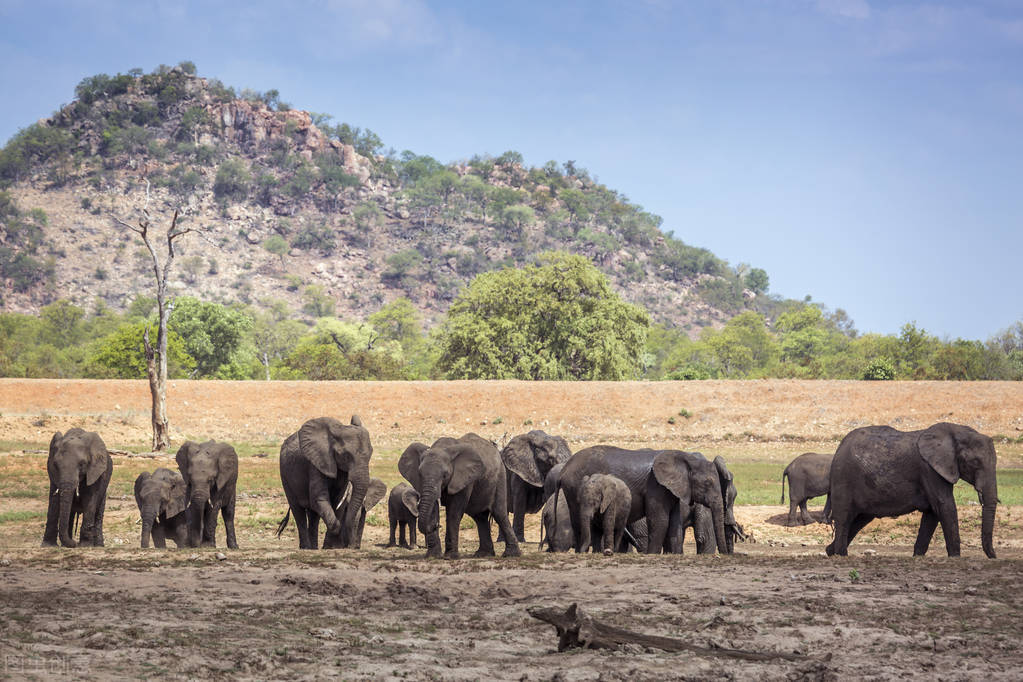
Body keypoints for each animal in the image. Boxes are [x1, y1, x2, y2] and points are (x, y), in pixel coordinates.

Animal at [278, 413, 374, 552]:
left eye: (370, 454)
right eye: (346, 456)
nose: (349, 546)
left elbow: (338, 502)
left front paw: (331, 547)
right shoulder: (316, 463)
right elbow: (320, 499)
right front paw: (334, 542)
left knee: (313, 515)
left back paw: (313, 548)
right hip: (285, 475)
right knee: (298, 510)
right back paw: (306, 547)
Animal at [394, 431, 515, 560]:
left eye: (445, 475)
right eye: (420, 473)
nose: (437, 525)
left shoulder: (463, 479)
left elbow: (454, 512)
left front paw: (450, 557)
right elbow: (433, 508)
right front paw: (433, 556)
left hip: (500, 477)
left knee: (499, 513)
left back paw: (511, 555)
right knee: (479, 517)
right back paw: (483, 554)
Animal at [556, 447, 732, 556]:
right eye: (708, 483)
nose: (725, 555)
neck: (685, 458)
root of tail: (564, 469)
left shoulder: (672, 490)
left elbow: (674, 523)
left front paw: (673, 554)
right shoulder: (656, 486)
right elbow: (660, 520)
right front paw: (651, 554)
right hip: (574, 488)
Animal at [822, 421, 998, 560]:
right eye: (974, 462)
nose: (994, 556)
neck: (956, 432)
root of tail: (838, 449)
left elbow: (932, 513)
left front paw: (918, 556)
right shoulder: (929, 470)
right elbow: (945, 506)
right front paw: (956, 557)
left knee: (859, 520)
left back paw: (830, 551)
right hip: (843, 479)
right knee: (844, 518)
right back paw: (841, 555)